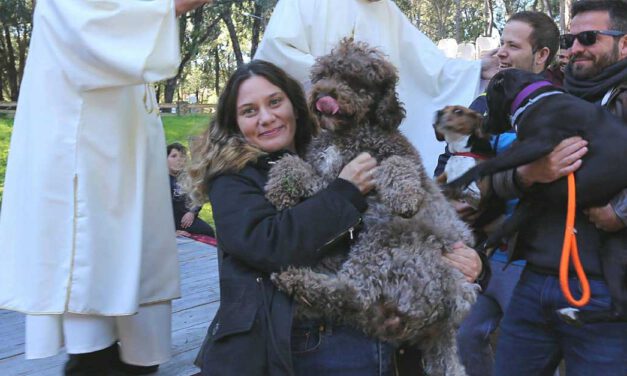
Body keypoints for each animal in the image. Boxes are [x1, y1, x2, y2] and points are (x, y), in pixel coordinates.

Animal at [448, 70, 624, 324]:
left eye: (488, 98)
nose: (483, 123)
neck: (534, 98)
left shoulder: (538, 143)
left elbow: (489, 164)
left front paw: (460, 180)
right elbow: (508, 222)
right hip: (612, 248)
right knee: (620, 308)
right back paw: (572, 312)